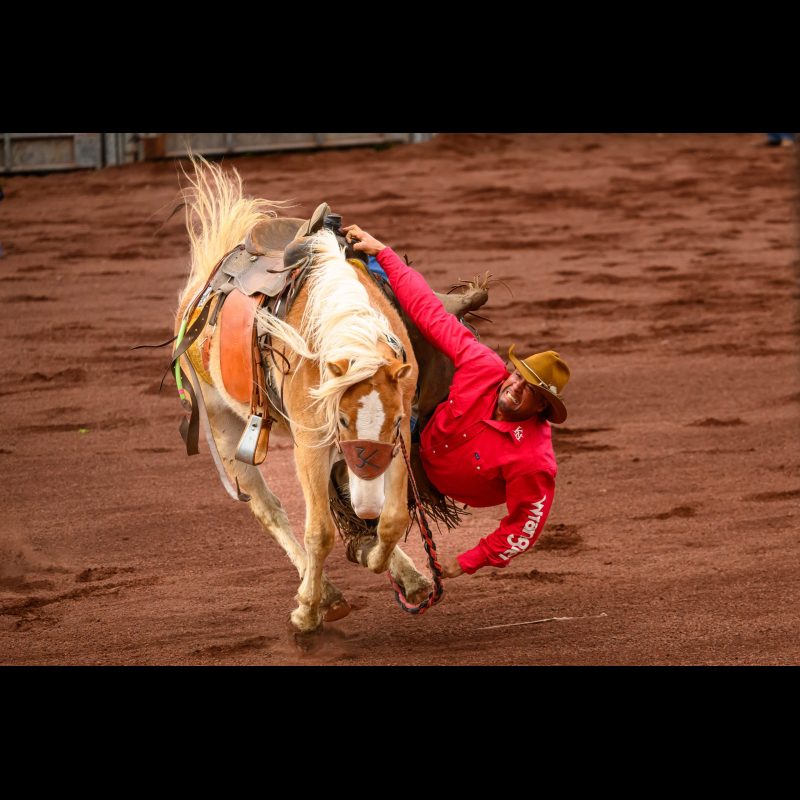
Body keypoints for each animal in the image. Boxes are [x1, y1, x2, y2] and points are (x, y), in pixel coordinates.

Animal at [173, 158, 433, 634]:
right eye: (344, 419)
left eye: (392, 421)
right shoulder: (312, 442)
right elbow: (320, 532)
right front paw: (308, 611)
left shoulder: (398, 435)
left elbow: (392, 519)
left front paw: (381, 559)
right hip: (225, 425)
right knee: (270, 508)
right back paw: (327, 593)